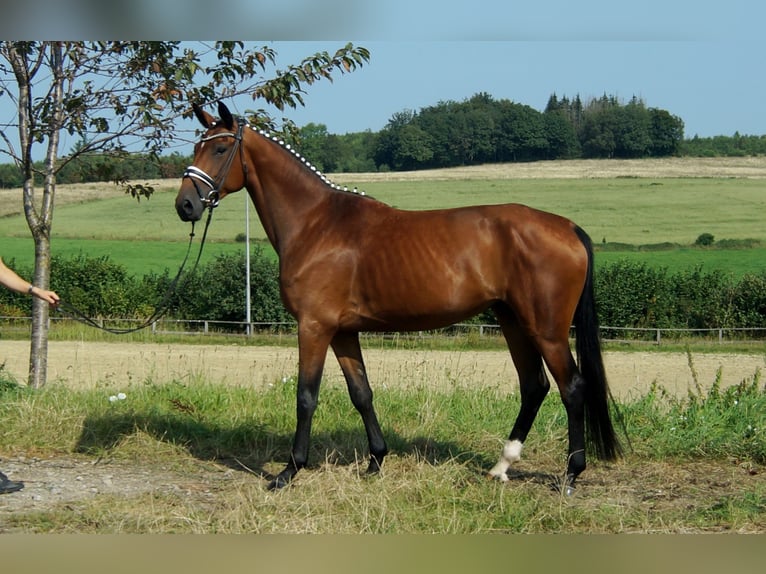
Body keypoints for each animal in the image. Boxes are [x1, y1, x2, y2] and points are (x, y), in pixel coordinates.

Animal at [178, 101, 624, 492]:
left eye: (219, 148)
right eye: (197, 146)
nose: (185, 205)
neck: (316, 224)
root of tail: (566, 227)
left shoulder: (314, 327)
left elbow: (306, 396)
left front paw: (289, 472)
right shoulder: (342, 332)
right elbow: (361, 393)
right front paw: (376, 460)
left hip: (545, 329)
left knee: (572, 388)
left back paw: (570, 475)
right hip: (512, 320)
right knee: (534, 386)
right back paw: (501, 467)